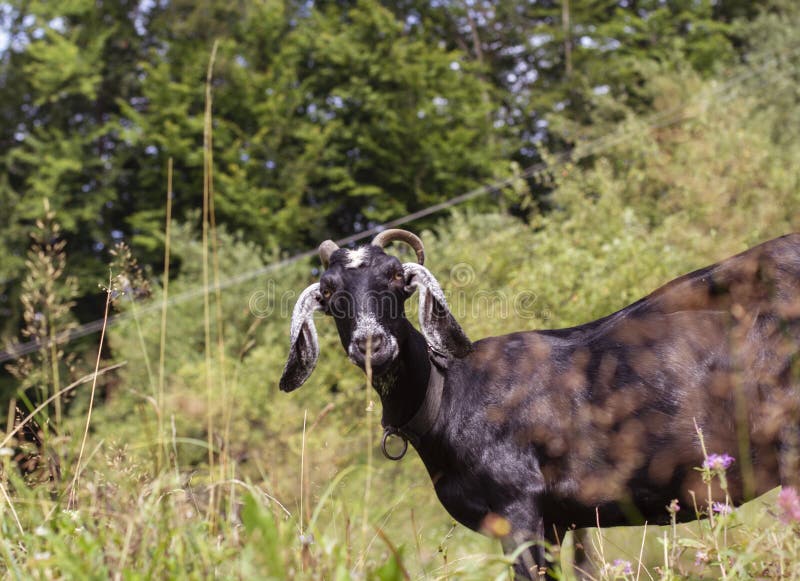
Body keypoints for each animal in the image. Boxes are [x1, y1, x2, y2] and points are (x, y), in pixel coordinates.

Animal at [282, 229, 800, 576]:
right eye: (328, 292)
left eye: (395, 277)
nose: (371, 343)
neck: (450, 394)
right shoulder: (558, 522)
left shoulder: (519, 508)